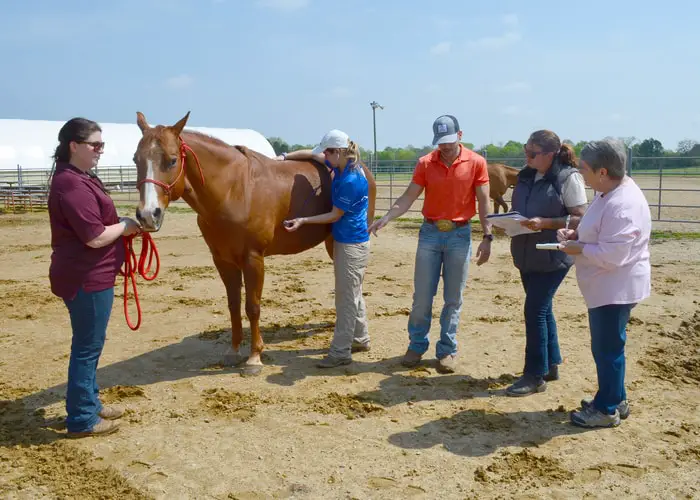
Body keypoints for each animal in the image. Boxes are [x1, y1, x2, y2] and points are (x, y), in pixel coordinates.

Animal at [135, 112, 380, 376]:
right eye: (136, 159)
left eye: (171, 161)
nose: (148, 215)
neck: (234, 189)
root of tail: (363, 169)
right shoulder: (223, 261)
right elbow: (234, 305)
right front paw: (233, 352)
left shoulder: (253, 259)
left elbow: (252, 307)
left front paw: (254, 358)